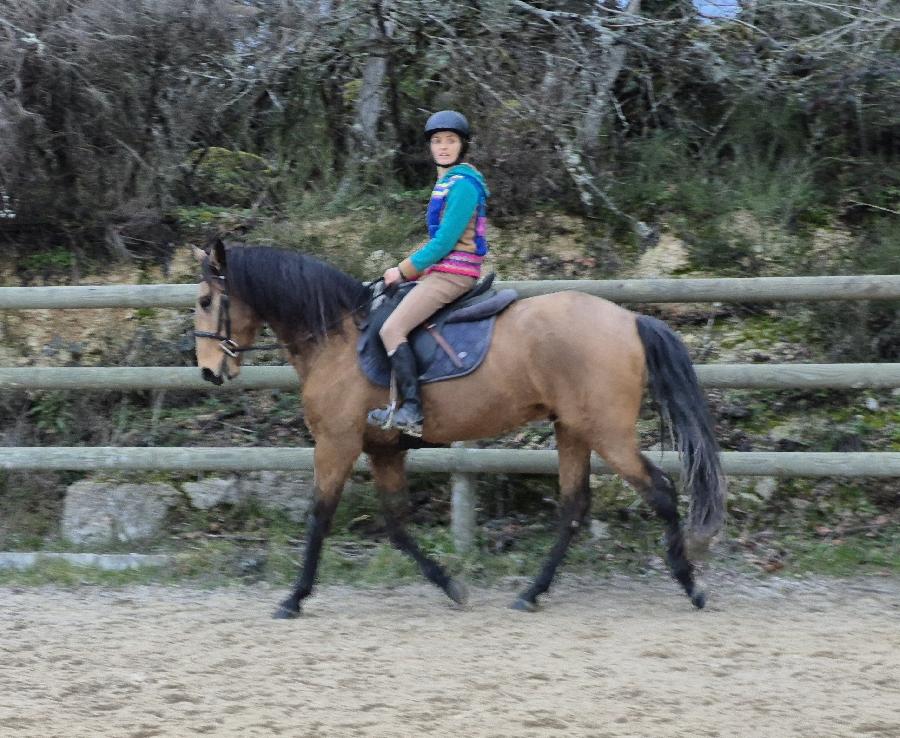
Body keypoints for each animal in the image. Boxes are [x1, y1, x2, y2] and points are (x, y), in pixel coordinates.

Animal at [192, 240, 726, 618]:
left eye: (203, 300)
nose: (208, 371)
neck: (337, 339)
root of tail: (630, 319)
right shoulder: (385, 450)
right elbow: (397, 525)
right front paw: (451, 585)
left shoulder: (336, 444)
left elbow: (319, 517)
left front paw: (294, 598)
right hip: (572, 429)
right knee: (574, 506)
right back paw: (532, 593)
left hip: (608, 435)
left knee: (659, 491)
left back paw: (692, 585)